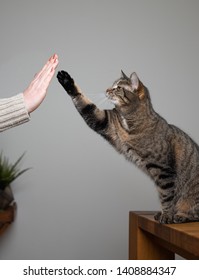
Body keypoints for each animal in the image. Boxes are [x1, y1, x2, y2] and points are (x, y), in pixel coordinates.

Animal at [56, 70, 199, 225]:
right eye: (112, 85)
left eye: (118, 87)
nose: (107, 89)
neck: (129, 121)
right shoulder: (105, 121)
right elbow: (86, 105)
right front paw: (67, 82)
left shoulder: (164, 170)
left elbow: (166, 196)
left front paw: (166, 215)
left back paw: (181, 215)